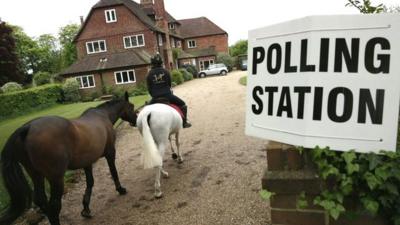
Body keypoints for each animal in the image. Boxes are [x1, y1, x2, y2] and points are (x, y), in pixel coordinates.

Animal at [0, 91, 138, 225]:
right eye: (132, 107)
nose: (136, 120)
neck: (103, 115)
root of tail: (27, 128)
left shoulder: (87, 162)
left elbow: (90, 182)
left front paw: (86, 209)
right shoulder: (110, 153)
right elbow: (113, 172)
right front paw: (120, 189)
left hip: (36, 175)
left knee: (40, 200)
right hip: (56, 178)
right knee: (54, 206)